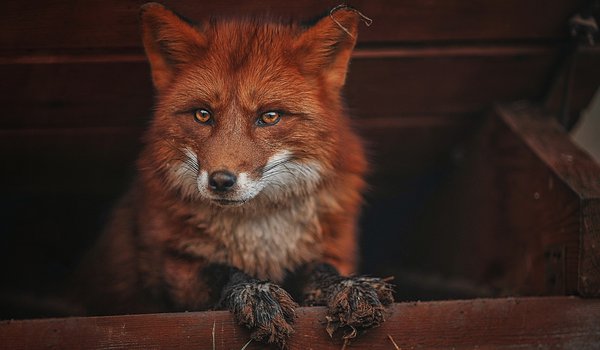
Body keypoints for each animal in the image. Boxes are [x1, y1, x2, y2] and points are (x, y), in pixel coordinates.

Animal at [78, 2, 394, 348]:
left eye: (269, 116)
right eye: (203, 115)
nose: (220, 181)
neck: (259, 231)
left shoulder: (332, 249)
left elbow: (320, 268)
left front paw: (348, 286)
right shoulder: (172, 266)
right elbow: (223, 270)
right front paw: (254, 291)